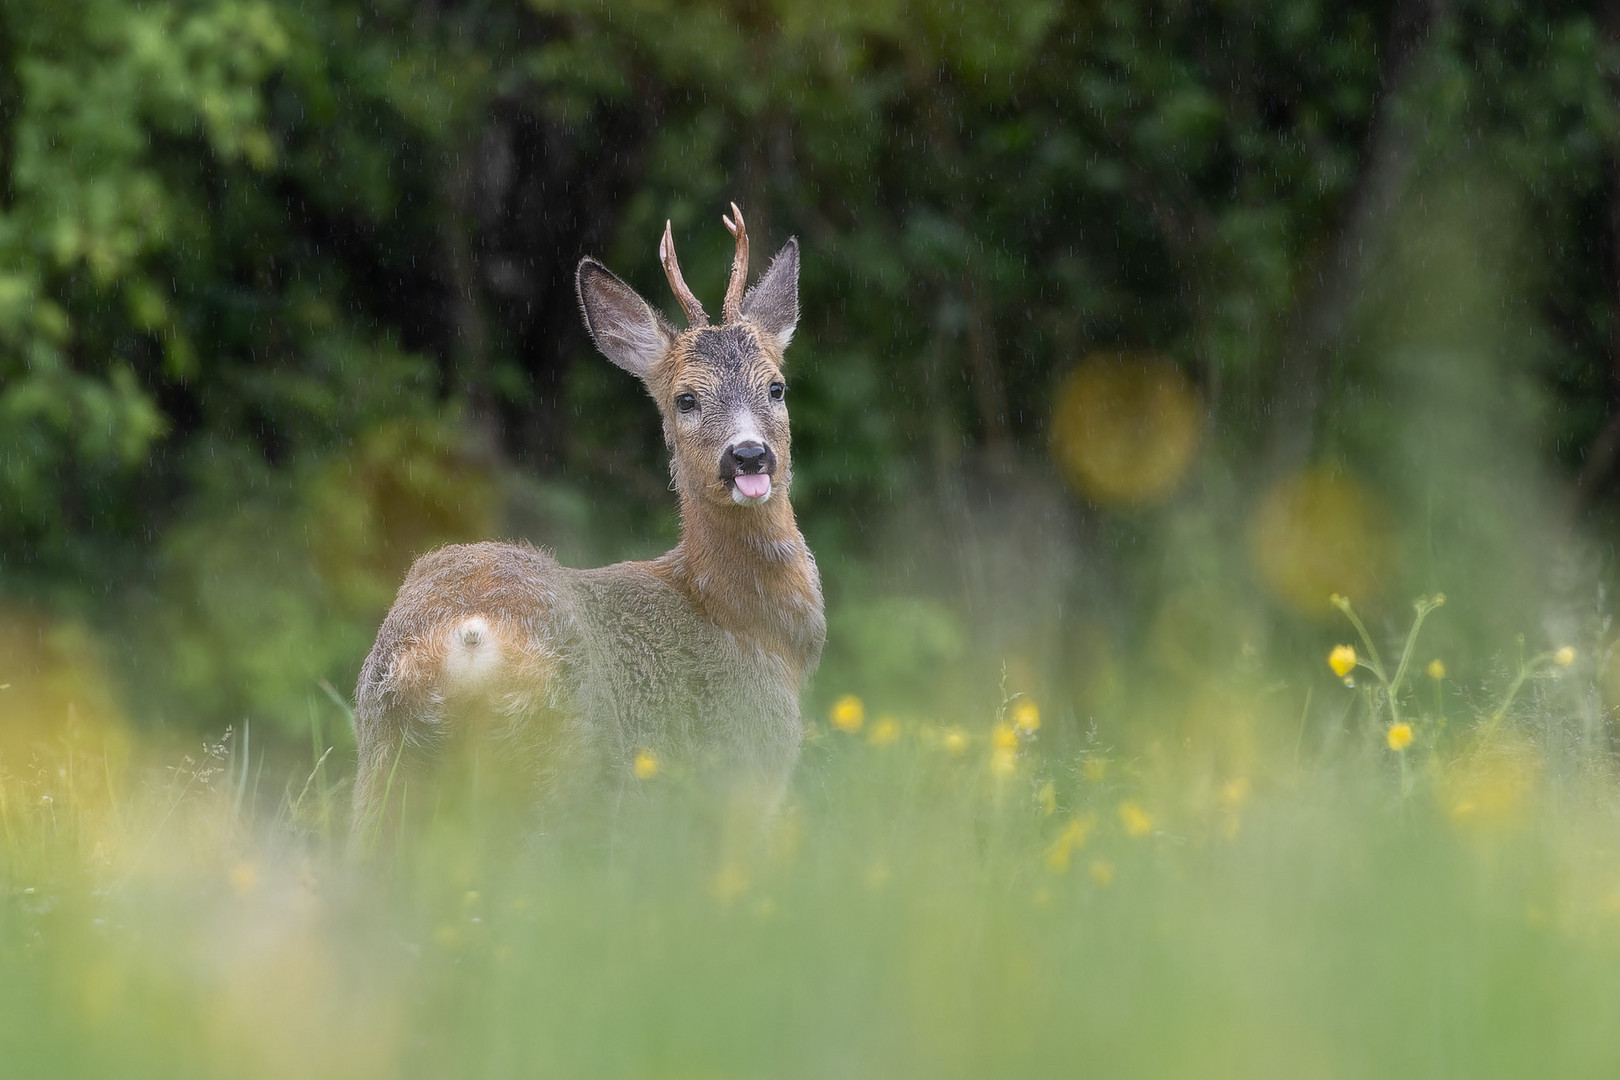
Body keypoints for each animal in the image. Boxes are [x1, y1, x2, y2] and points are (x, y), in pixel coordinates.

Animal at [351, 202, 822, 841]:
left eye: (776, 386)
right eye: (686, 399)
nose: (748, 455)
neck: (743, 618)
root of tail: (467, 636)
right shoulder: (747, 767)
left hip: (385, 759)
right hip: (563, 763)